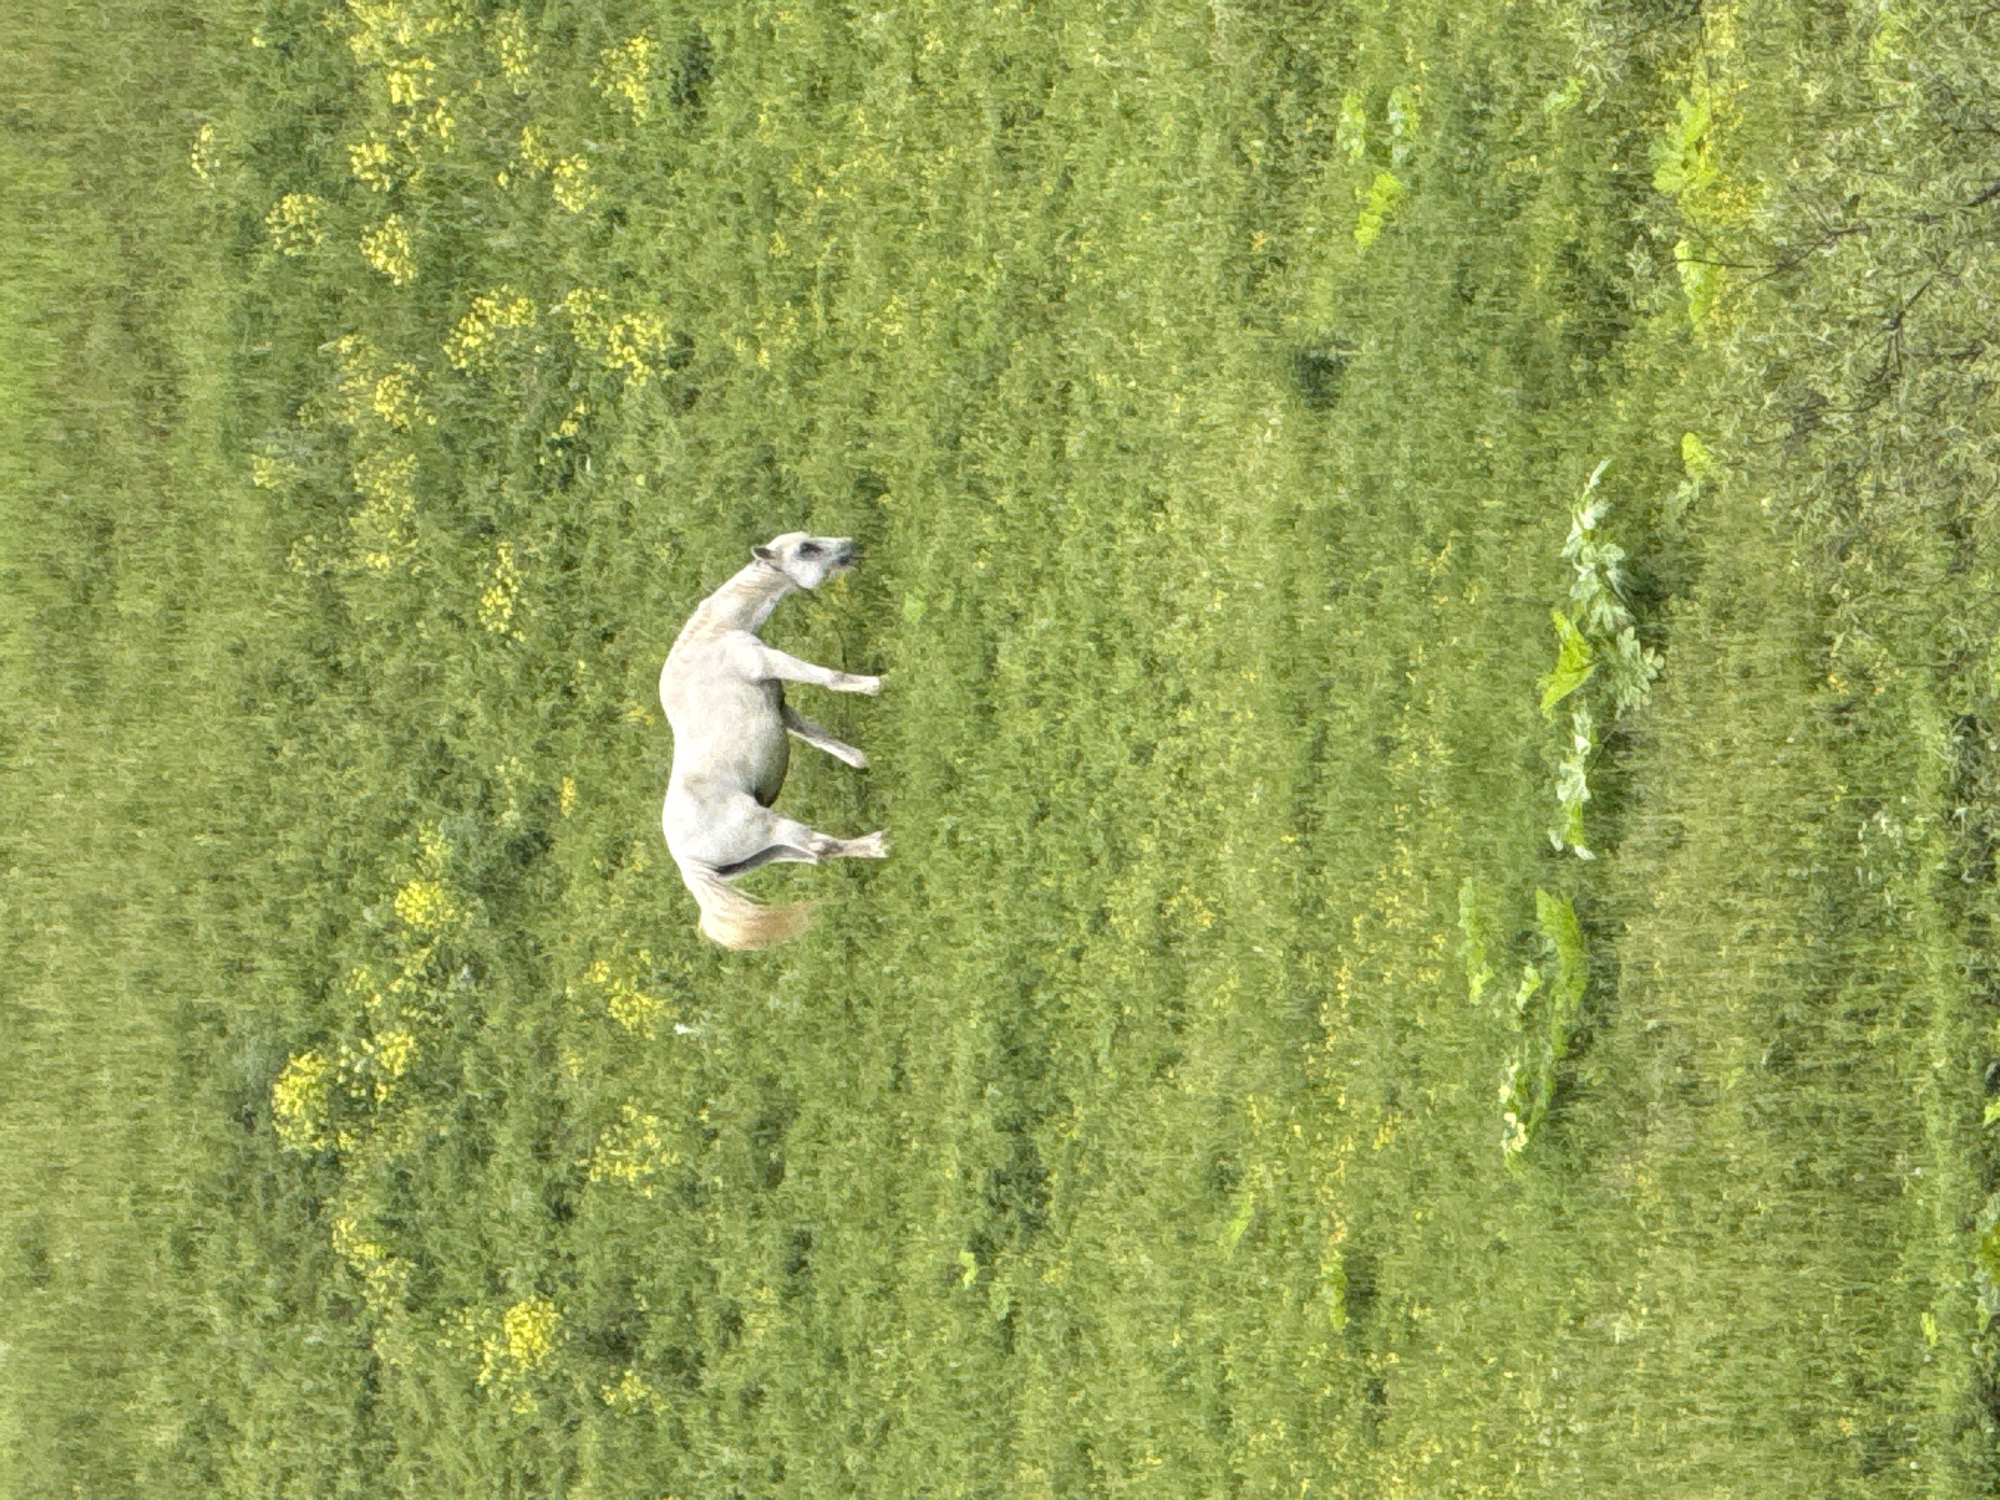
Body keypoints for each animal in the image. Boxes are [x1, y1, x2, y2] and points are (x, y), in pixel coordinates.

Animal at [659, 531, 888, 949]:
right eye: (806, 550)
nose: (849, 545)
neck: (715, 636)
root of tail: (686, 862)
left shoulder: (779, 704)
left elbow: (821, 738)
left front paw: (863, 760)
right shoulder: (768, 661)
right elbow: (831, 678)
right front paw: (879, 683)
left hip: (768, 853)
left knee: (818, 854)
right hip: (773, 828)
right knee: (819, 846)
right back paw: (879, 844)